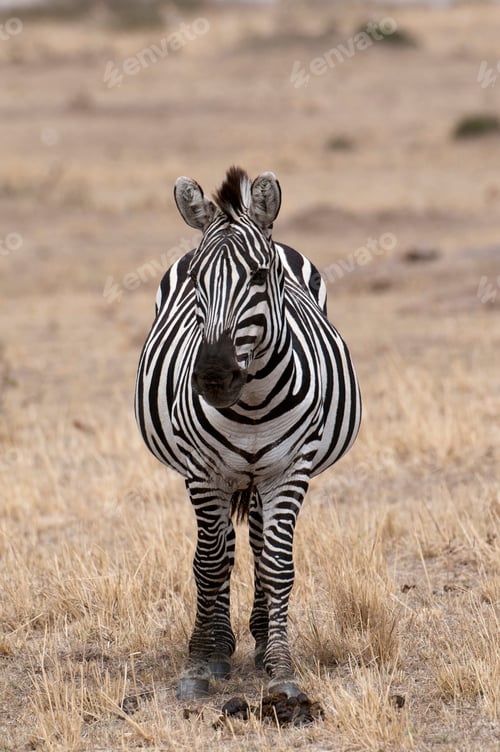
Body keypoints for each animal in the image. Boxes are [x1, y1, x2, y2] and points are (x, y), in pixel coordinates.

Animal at [135, 166, 361, 700]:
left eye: (259, 276)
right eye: (197, 279)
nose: (214, 377)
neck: (253, 404)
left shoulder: (290, 470)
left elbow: (277, 564)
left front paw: (281, 670)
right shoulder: (202, 472)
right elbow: (210, 562)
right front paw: (200, 663)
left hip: (262, 478)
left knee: (257, 542)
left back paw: (258, 640)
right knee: (225, 547)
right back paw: (221, 644)